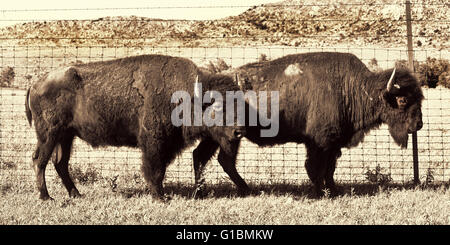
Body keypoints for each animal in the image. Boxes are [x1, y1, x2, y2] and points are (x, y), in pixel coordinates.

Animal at [25, 54, 244, 200]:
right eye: (218, 106)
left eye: (238, 103)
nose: (238, 131)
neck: (187, 96)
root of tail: (36, 84)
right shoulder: (153, 142)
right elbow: (155, 169)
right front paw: (160, 197)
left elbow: (160, 168)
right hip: (49, 134)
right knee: (39, 160)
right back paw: (46, 197)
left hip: (66, 136)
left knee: (60, 163)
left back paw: (76, 194)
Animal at [192, 52, 424, 197]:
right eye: (403, 100)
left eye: (419, 98)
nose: (418, 125)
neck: (354, 88)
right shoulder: (319, 142)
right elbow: (315, 167)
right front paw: (320, 193)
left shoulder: (334, 143)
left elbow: (329, 169)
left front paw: (333, 191)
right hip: (226, 137)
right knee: (217, 159)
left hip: (220, 137)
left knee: (207, 157)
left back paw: (212, 190)